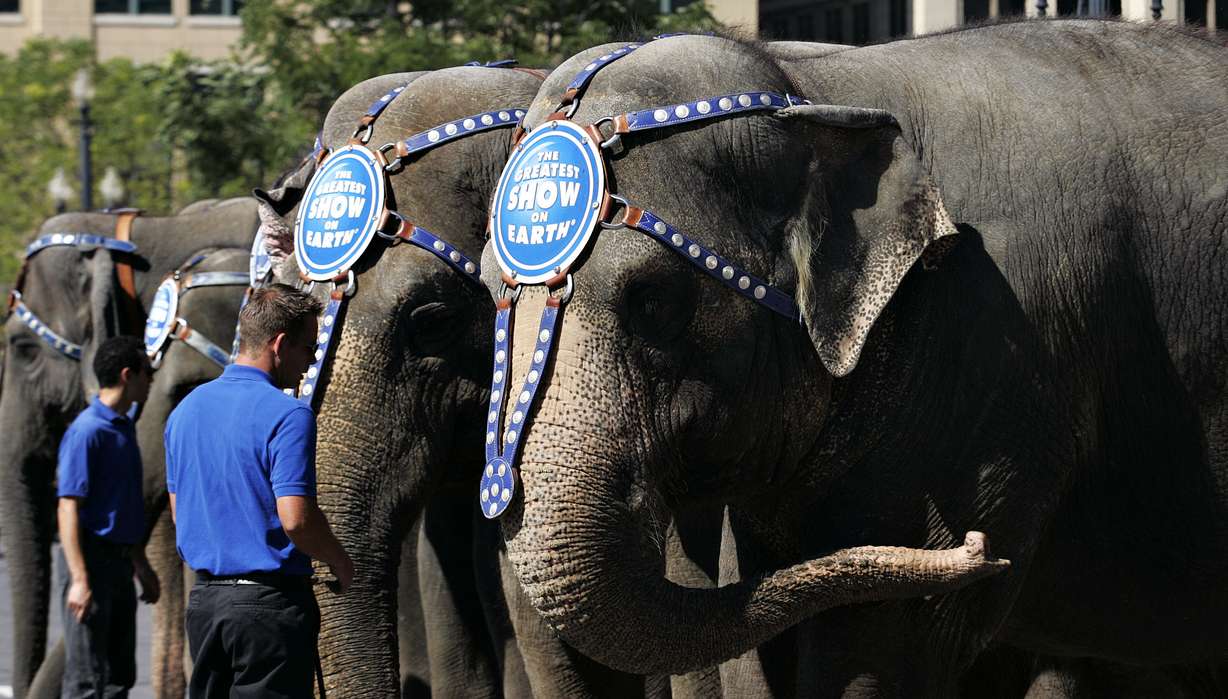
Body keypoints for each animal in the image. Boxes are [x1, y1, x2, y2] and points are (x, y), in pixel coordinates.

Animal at [477, 19, 1228, 697]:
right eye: (490, 293)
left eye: (652, 301)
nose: (982, 549)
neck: (817, 86)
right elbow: (758, 641)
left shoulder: (993, 355)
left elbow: (879, 648)